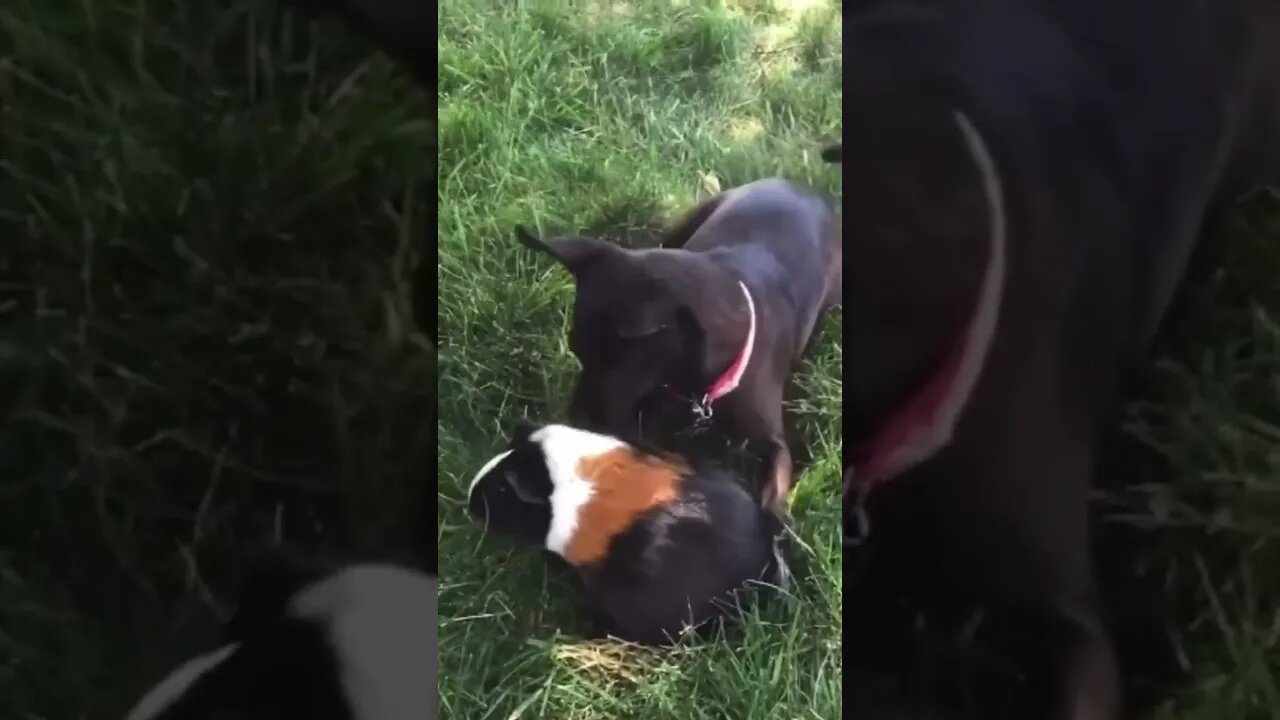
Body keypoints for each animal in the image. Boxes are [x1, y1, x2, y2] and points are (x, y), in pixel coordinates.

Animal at [509, 176, 839, 507]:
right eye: (577, 351)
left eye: (615, 362)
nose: (576, 420)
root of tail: (795, 184)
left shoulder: (775, 445)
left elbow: (774, 490)